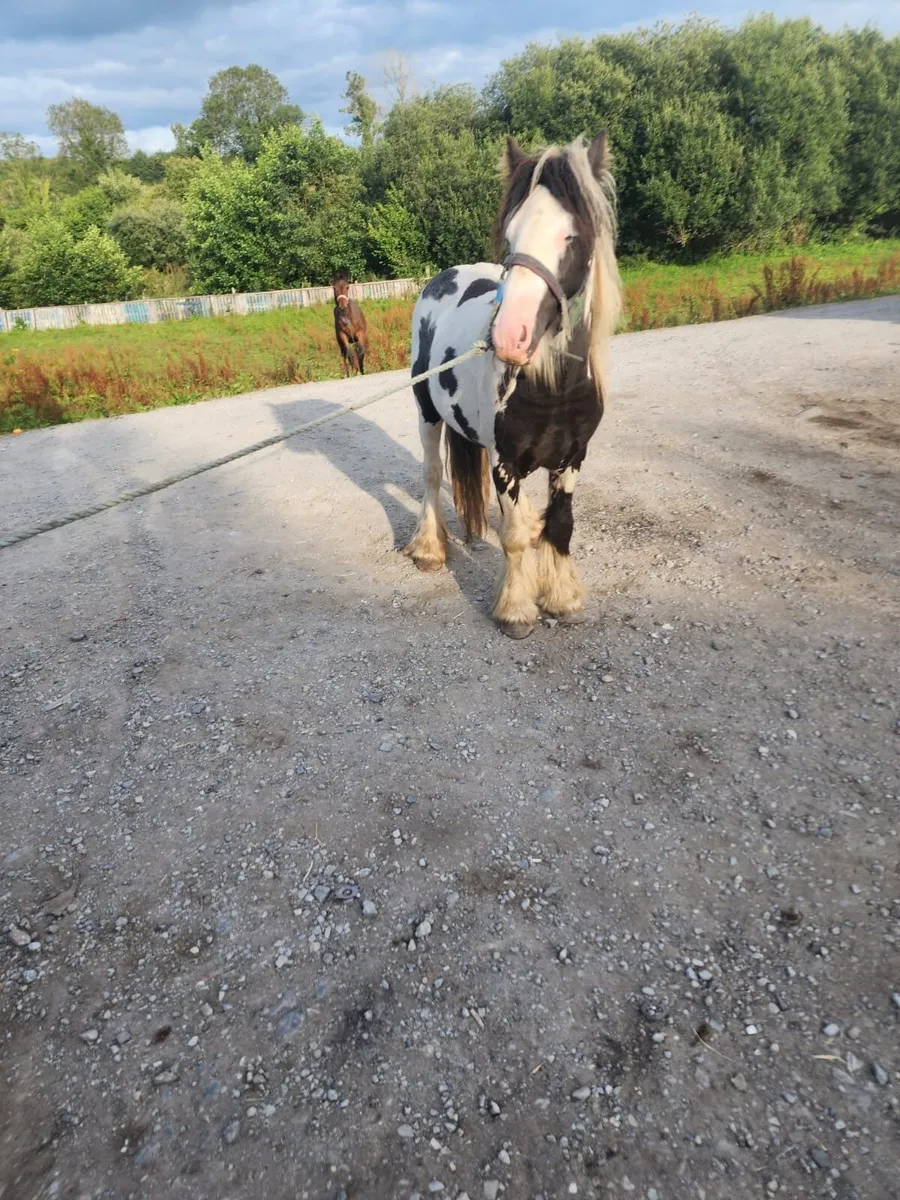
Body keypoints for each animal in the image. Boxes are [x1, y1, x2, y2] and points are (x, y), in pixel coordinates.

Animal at [403, 134, 621, 639]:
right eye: (510, 236)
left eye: (572, 235)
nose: (509, 337)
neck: (552, 389)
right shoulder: (507, 463)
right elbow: (517, 535)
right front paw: (516, 610)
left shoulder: (573, 457)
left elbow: (559, 524)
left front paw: (563, 598)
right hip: (427, 413)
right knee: (431, 475)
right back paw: (429, 548)